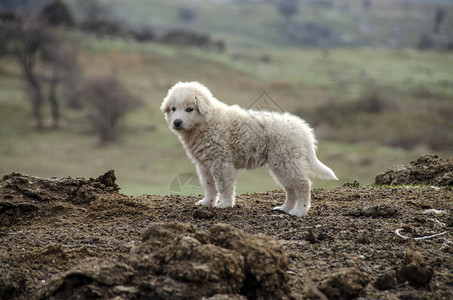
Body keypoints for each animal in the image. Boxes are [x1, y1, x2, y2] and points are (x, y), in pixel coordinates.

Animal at [161, 82, 338, 216]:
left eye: (189, 109)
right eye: (173, 108)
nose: (177, 122)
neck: (206, 122)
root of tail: (302, 129)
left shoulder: (221, 162)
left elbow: (224, 186)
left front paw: (225, 204)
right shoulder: (204, 165)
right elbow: (209, 186)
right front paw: (207, 203)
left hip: (286, 161)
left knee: (303, 184)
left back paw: (300, 211)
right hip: (280, 165)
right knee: (290, 189)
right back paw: (284, 208)